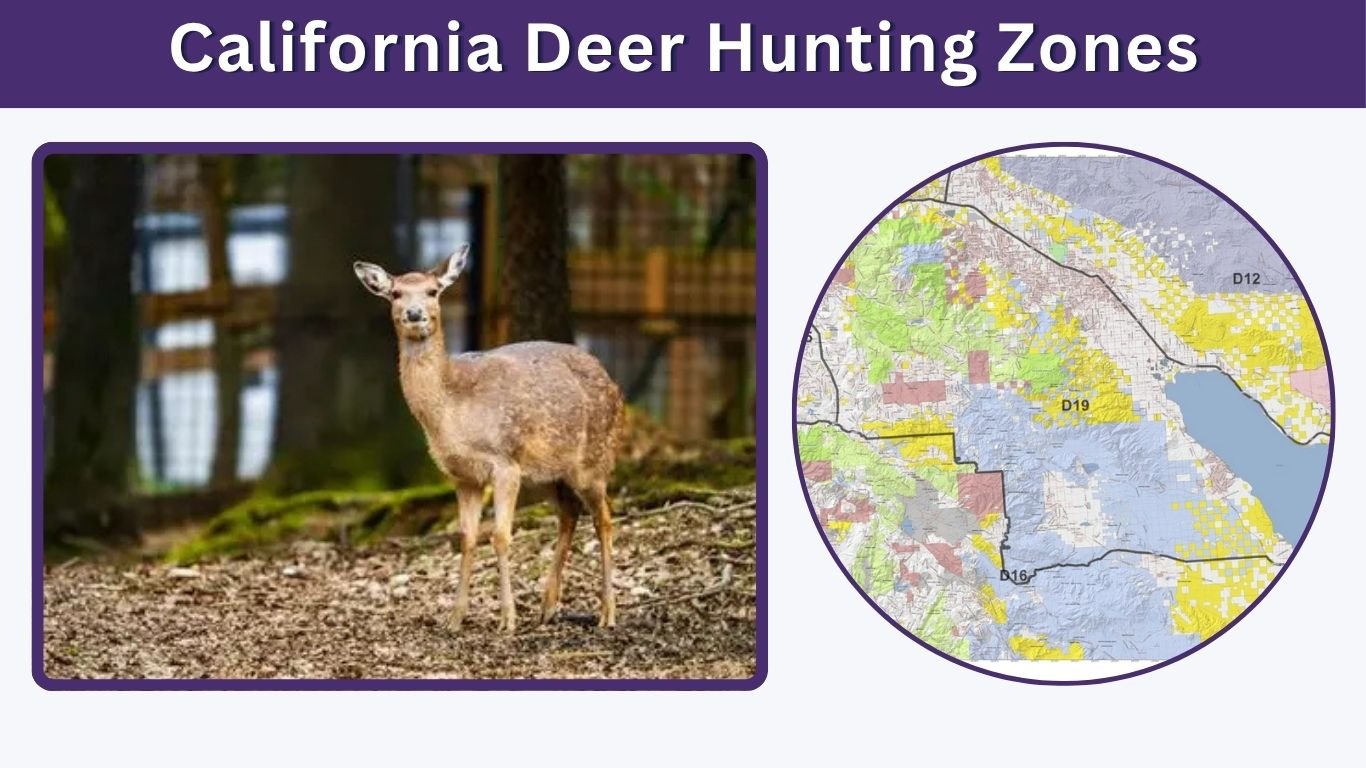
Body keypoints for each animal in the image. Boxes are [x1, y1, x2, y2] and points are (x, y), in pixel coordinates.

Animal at [353, 243, 624, 634]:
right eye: (396, 293)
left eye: (433, 291)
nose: (415, 314)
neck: (450, 411)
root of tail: (614, 384)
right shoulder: (463, 476)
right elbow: (467, 538)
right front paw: (454, 618)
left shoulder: (504, 462)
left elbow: (499, 536)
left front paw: (507, 618)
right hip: (547, 473)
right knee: (570, 513)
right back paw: (547, 606)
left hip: (594, 459)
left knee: (604, 518)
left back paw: (607, 612)